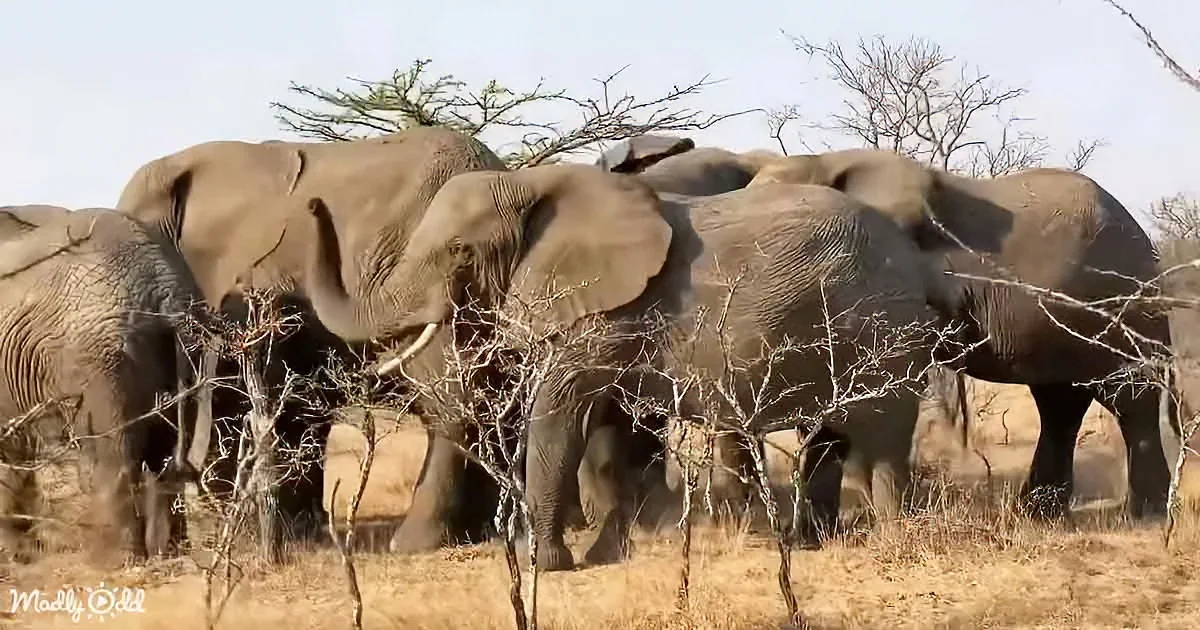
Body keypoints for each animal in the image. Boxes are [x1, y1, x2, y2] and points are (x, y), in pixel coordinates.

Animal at [0, 206, 212, 565]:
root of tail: (166, 290)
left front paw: (15, 555)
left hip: (99, 358)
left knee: (113, 455)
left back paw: (115, 560)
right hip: (191, 348)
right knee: (165, 453)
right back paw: (166, 554)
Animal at [296, 163, 946, 571]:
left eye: (458, 250)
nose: (312, 202)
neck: (532, 183)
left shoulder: (604, 314)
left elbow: (561, 412)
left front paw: (546, 566)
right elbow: (615, 428)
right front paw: (606, 555)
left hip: (886, 330)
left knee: (882, 440)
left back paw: (894, 542)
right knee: (834, 438)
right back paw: (805, 544)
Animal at [745, 148, 1180, 519]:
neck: (825, 159)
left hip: (1120, 306)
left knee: (1128, 399)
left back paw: (1146, 515)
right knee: (1061, 402)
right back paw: (1038, 513)